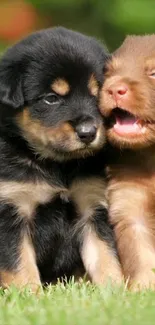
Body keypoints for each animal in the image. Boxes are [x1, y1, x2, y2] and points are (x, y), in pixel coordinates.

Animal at [0, 27, 122, 290]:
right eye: (51, 98)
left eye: (97, 94)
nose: (88, 132)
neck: (57, 165)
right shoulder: (11, 209)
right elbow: (20, 266)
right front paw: (29, 294)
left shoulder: (92, 207)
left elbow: (106, 256)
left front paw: (116, 291)